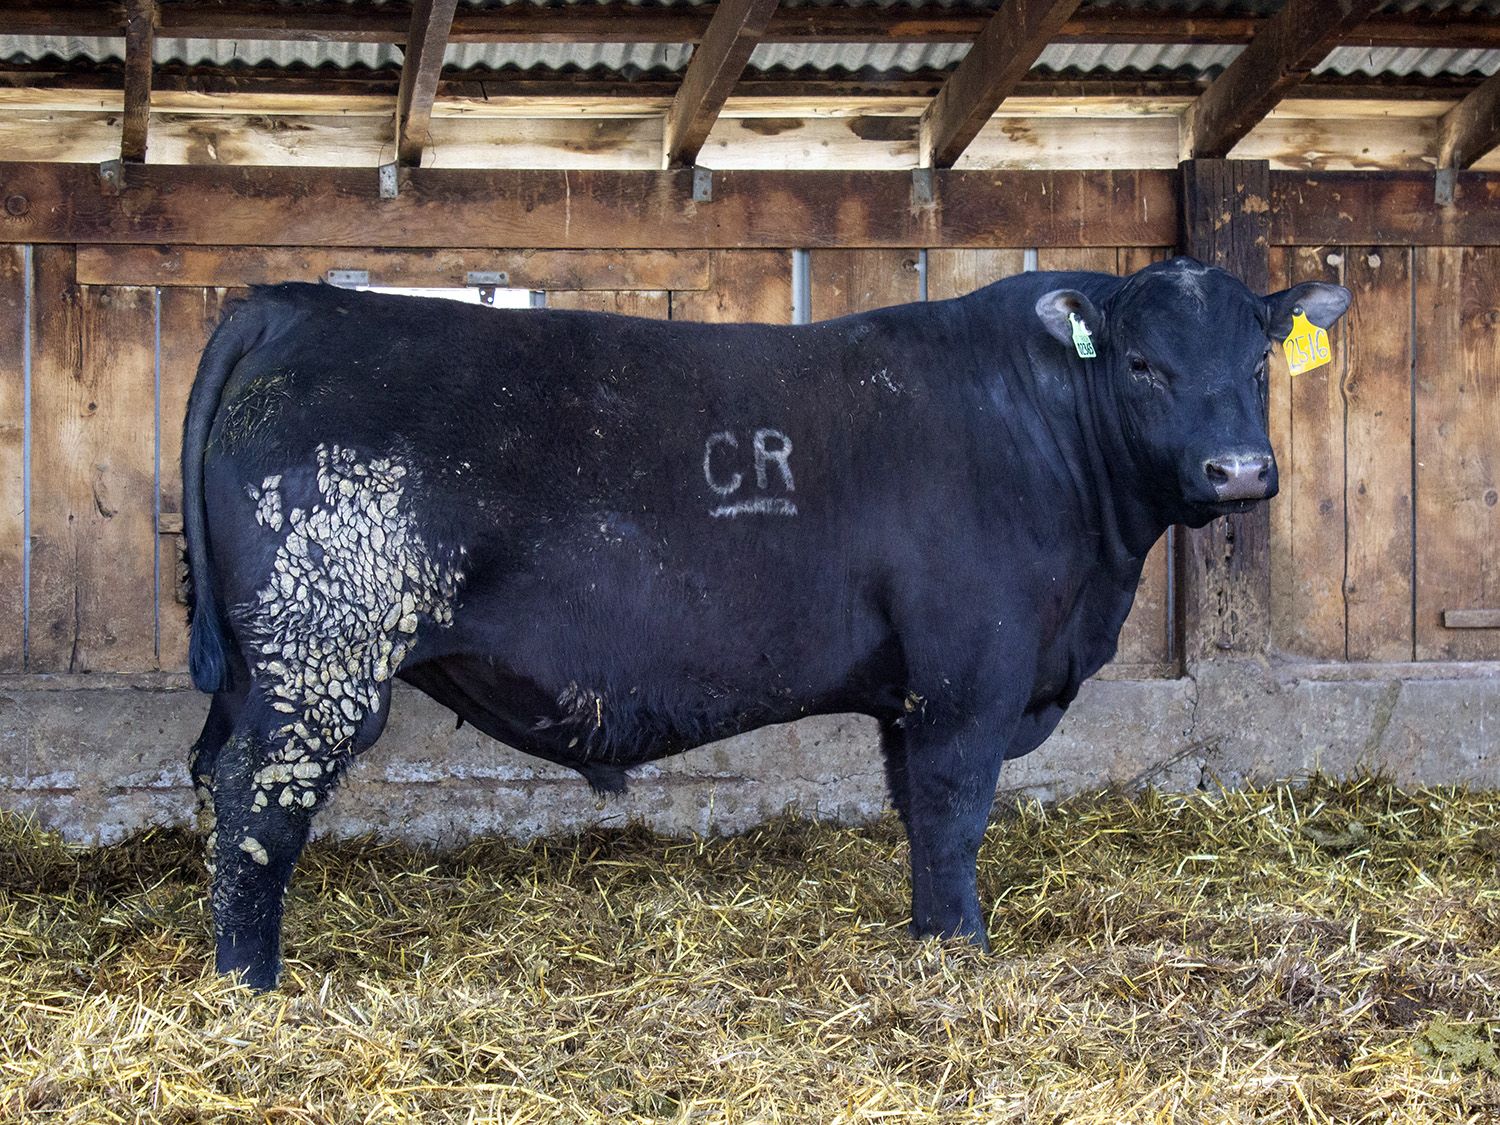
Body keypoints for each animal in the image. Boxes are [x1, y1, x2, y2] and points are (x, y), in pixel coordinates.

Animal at [181, 257, 1350, 990]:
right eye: (1144, 364)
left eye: (1258, 363)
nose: (1240, 471)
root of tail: (290, 305)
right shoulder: (970, 672)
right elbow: (955, 808)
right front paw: (963, 949)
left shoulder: (910, 690)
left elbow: (915, 811)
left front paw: (929, 935)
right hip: (323, 649)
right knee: (259, 799)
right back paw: (251, 985)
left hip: (258, 660)